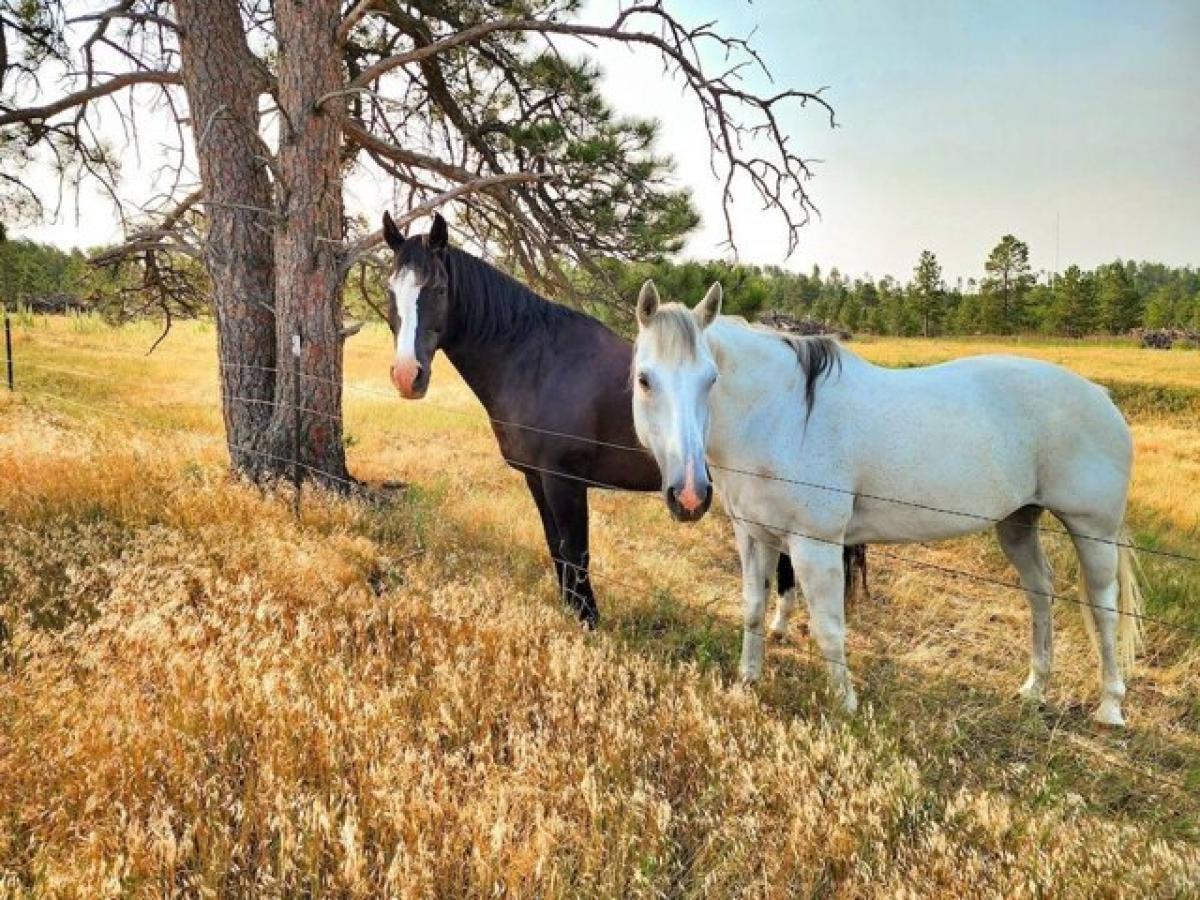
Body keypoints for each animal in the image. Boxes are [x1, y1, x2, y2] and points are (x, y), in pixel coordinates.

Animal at [381, 214, 864, 628]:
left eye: (438, 288)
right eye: (390, 290)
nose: (407, 376)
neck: (536, 361)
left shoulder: (565, 481)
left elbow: (576, 551)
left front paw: (588, 620)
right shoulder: (537, 478)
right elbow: (556, 548)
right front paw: (570, 611)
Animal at [628, 280, 1142, 724]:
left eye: (710, 379)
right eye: (644, 380)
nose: (689, 494)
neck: (781, 413)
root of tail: (1100, 397)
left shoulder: (815, 546)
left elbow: (829, 628)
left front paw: (846, 706)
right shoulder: (754, 537)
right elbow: (753, 608)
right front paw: (748, 681)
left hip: (1092, 530)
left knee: (1103, 607)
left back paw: (1111, 707)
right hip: (1018, 523)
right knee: (1040, 591)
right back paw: (1036, 687)